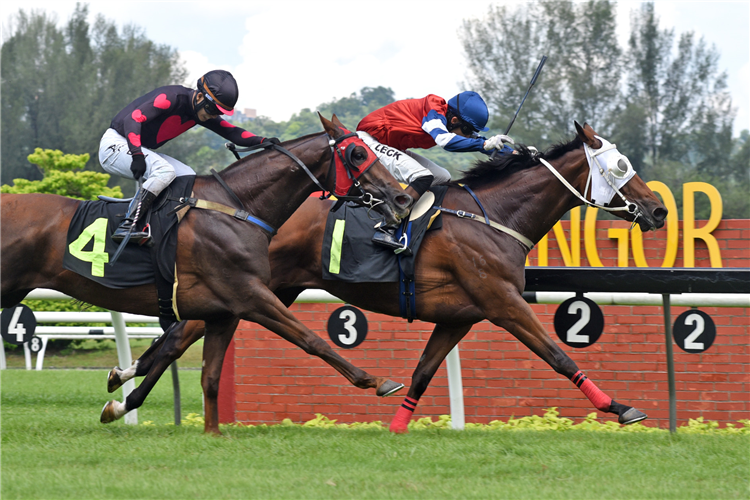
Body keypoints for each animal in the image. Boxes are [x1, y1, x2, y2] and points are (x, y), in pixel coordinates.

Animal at [0, 113, 418, 430]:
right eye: (357, 153)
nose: (402, 198)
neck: (238, 207)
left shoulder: (224, 311)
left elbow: (208, 374)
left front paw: (208, 430)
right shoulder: (252, 296)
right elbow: (311, 340)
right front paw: (377, 381)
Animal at [107, 122, 668, 434]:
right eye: (621, 165)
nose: (660, 209)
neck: (494, 215)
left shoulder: (461, 316)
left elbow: (423, 372)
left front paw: (397, 428)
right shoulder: (503, 301)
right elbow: (557, 355)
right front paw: (621, 408)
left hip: (263, 287)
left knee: (184, 333)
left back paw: (124, 394)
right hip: (254, 285)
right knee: (184, 333)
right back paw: (124, 392)